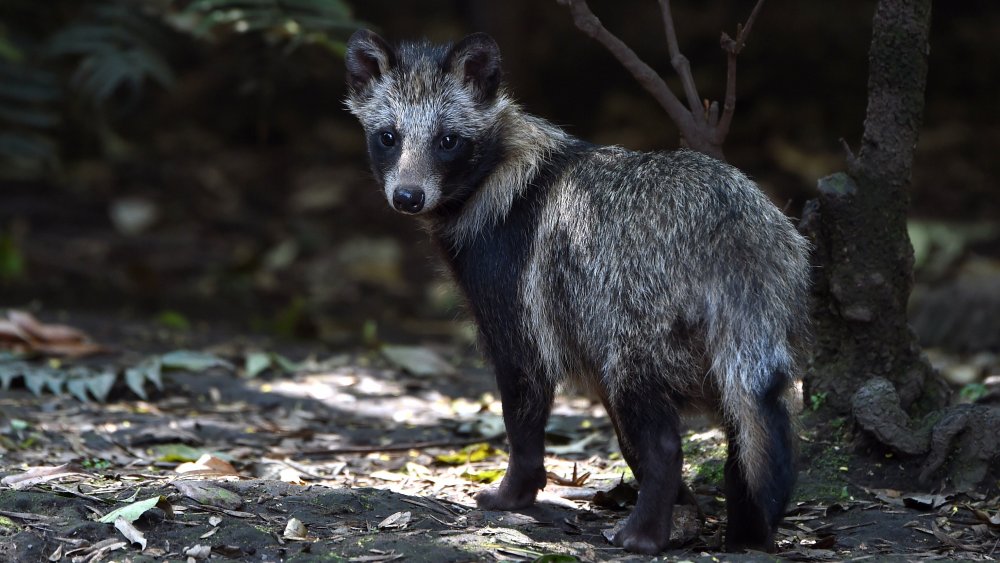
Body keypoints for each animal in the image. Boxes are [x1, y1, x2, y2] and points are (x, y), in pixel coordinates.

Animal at [348, 29, 808, 556]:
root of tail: (735, 234)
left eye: (448, 141)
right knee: (758, 425)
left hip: (637, 324)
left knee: (663, 433)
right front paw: (685, 503)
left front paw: (516, 491)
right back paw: (750, 527)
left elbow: (524, 404)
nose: (407, 197)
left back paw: (646, 531)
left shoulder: (516, 296)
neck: (499, 170)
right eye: (389, 136)